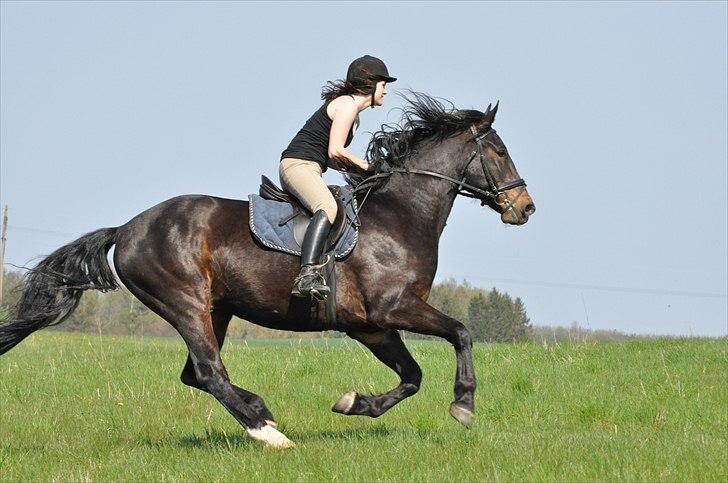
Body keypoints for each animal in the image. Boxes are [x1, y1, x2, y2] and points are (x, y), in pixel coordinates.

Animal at [0, 93, 535, 448]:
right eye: (499, 151)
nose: (525, 208)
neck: (400, 214)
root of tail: (128, 228)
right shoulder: (394, 307)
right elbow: (461, 331)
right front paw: (463, 405)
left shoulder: (371, 325)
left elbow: (412, 375)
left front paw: (354, 403)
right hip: (185, 303)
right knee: (210, 371)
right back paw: (267, 432)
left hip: (216, 309)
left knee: (197, 374)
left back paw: (263, 414)